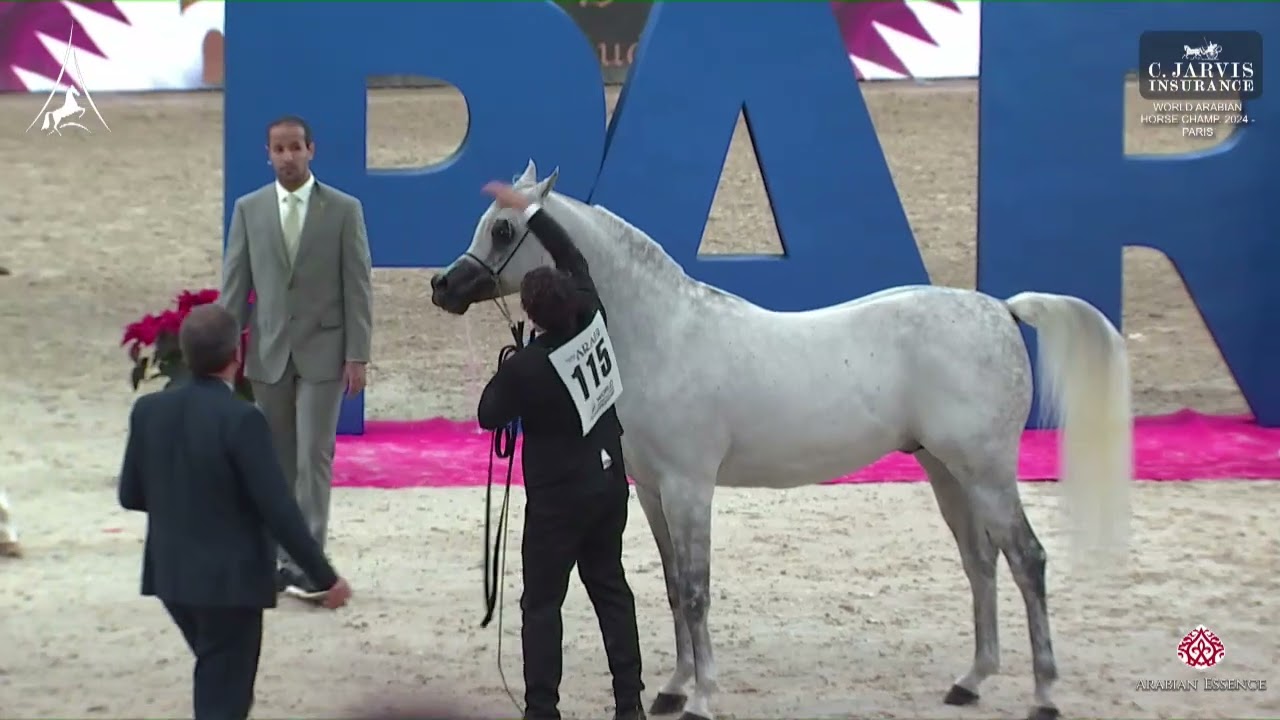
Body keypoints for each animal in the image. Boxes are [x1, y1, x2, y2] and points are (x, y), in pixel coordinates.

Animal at [430, 161, 1133, 720]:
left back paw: (1044, 696)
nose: (443, 286)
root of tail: (1003, 309)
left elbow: (697, 590)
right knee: (980, 562)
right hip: (946, 472)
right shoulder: (653, 492)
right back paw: (971, 681)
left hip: (987, 473)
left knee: (1027, 560)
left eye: (502, 228)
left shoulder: (690, 488)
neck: (663, 332)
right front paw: (673, 689)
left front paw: (702, 699)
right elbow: (672, 586)